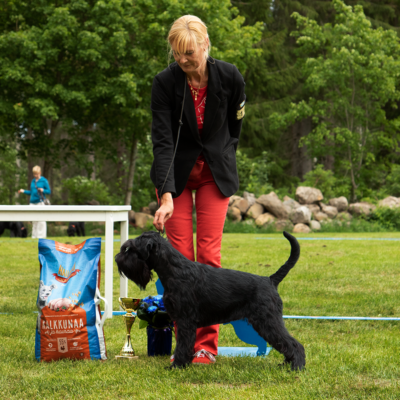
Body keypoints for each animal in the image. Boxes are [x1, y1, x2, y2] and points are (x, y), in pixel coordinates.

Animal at [115, 231, 306, 370]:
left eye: (129, 249)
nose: (117, 259)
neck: (174, 270)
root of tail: (270, 280)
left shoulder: (185, 321)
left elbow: (183, 345)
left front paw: (177, 366)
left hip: (268, 321)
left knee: (292, 344)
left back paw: (296, 367)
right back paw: (286, 364)